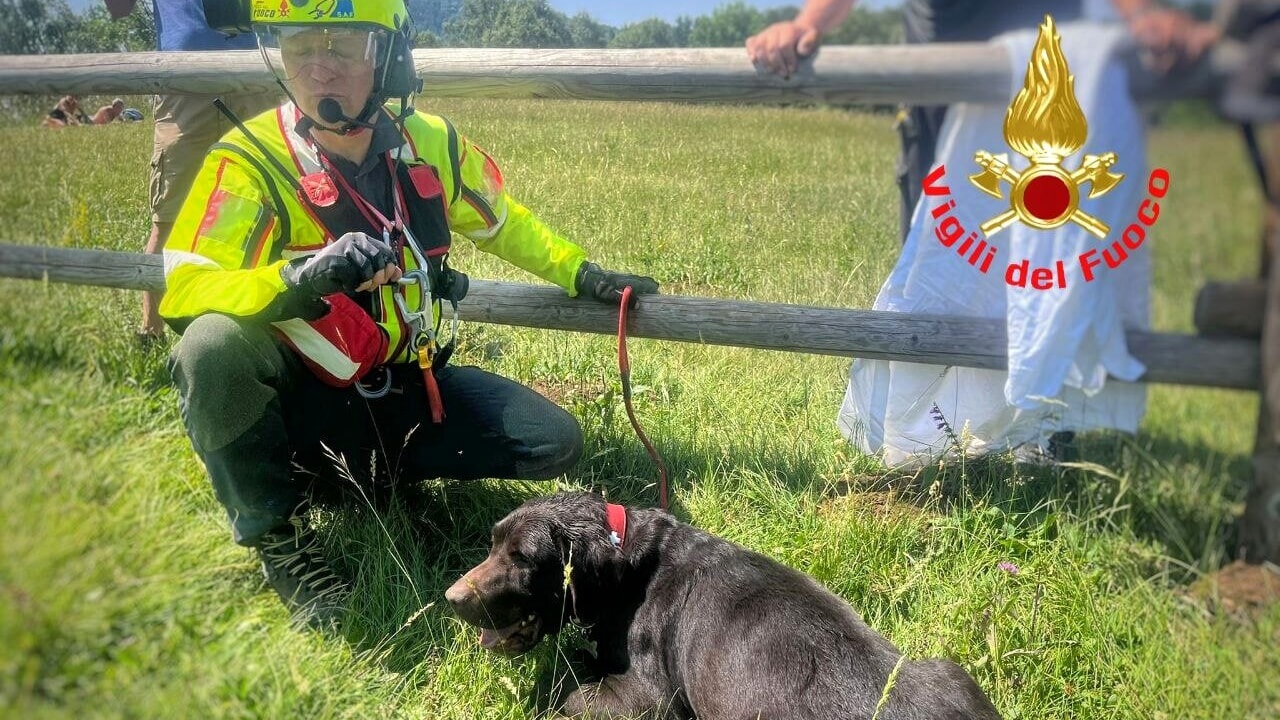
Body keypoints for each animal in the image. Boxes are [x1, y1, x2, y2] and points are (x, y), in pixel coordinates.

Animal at [445, 489, 1003, 712]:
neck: (630, 560)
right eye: (493, 544)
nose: (451, 598)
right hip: (951, 671)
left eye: (522, 558)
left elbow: (574, 696)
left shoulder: (650, 700)